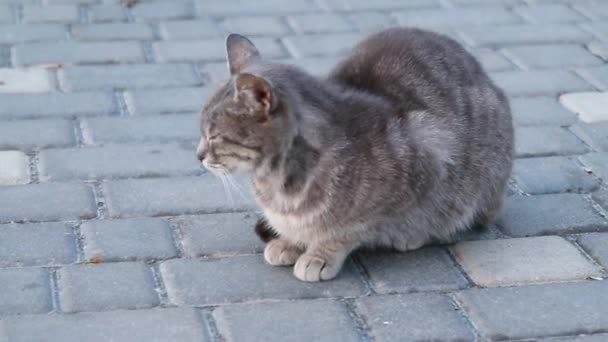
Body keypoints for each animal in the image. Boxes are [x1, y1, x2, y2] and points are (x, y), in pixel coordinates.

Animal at [197, 28, 510, 282]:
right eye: (202, 132)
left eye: (213, 136)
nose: (198, 156)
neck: (277, 182)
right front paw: (289, 241)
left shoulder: (425, 161)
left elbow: (348, 230)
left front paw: (320, 254)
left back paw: (413, 236)